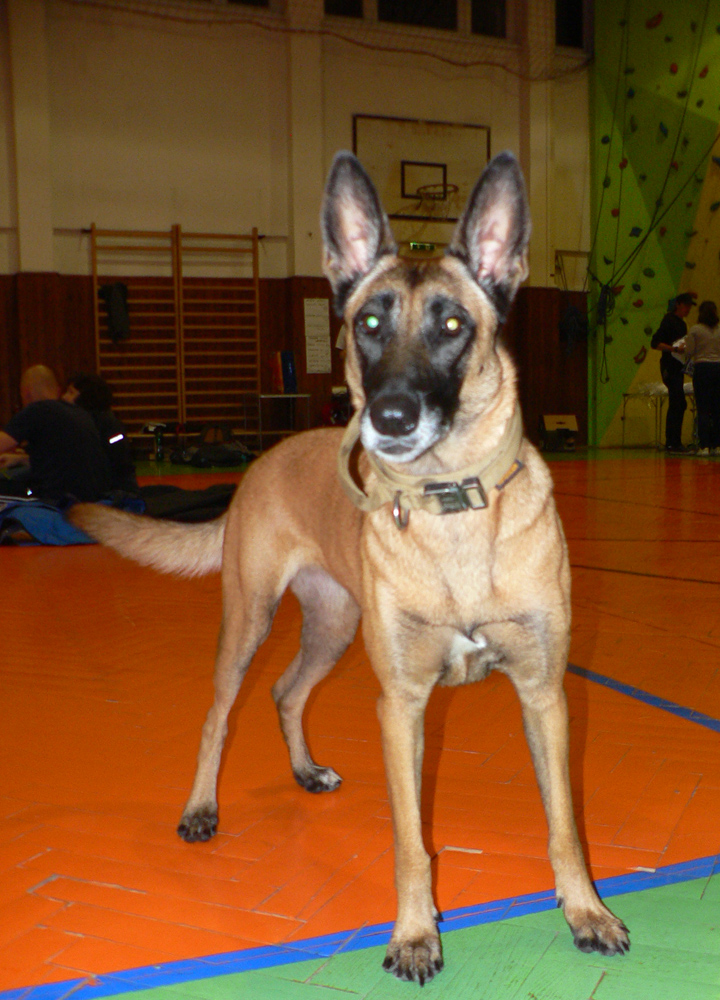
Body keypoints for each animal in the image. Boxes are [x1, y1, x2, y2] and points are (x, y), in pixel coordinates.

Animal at [70, 150, 629, 984]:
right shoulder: (401, 706)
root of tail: (265, 457)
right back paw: (201, 807)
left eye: (453, 324)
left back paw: (306, 771)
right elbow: (411, 842)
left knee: (286, 692)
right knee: (220, 714)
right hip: (248, 621)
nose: (389, 417)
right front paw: (415, 932)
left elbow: (565, 823)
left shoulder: (544, 696)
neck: (452, 507)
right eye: (369, 323)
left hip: (331, 628)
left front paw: (585, 910)